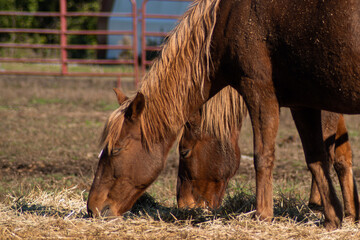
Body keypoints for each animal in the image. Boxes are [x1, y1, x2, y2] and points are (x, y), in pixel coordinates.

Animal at [88, 0, 360, 229]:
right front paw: (337, 217)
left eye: (117, 149)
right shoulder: (303, 104)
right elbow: (321, 158)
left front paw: (264, 216)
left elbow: (265, 155)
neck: (228, 17)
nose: (93, 208)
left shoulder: (260, 90)